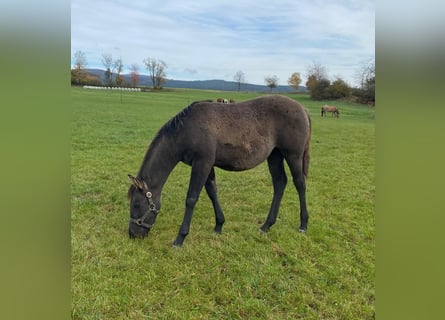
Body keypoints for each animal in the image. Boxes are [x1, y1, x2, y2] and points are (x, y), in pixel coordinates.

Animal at [126, 95, 310, 248]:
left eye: (136, 204)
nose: (132, 234)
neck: (186, 130)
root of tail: (302, 108)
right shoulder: (207, 165)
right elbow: (212, 191)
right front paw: (219, 225)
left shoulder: (202, 163)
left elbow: (191, 198)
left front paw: (180, 238)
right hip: (275, 156)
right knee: (280, 183)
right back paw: (266, 225)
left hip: (293, 155)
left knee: (299, 184)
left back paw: (303, 224)